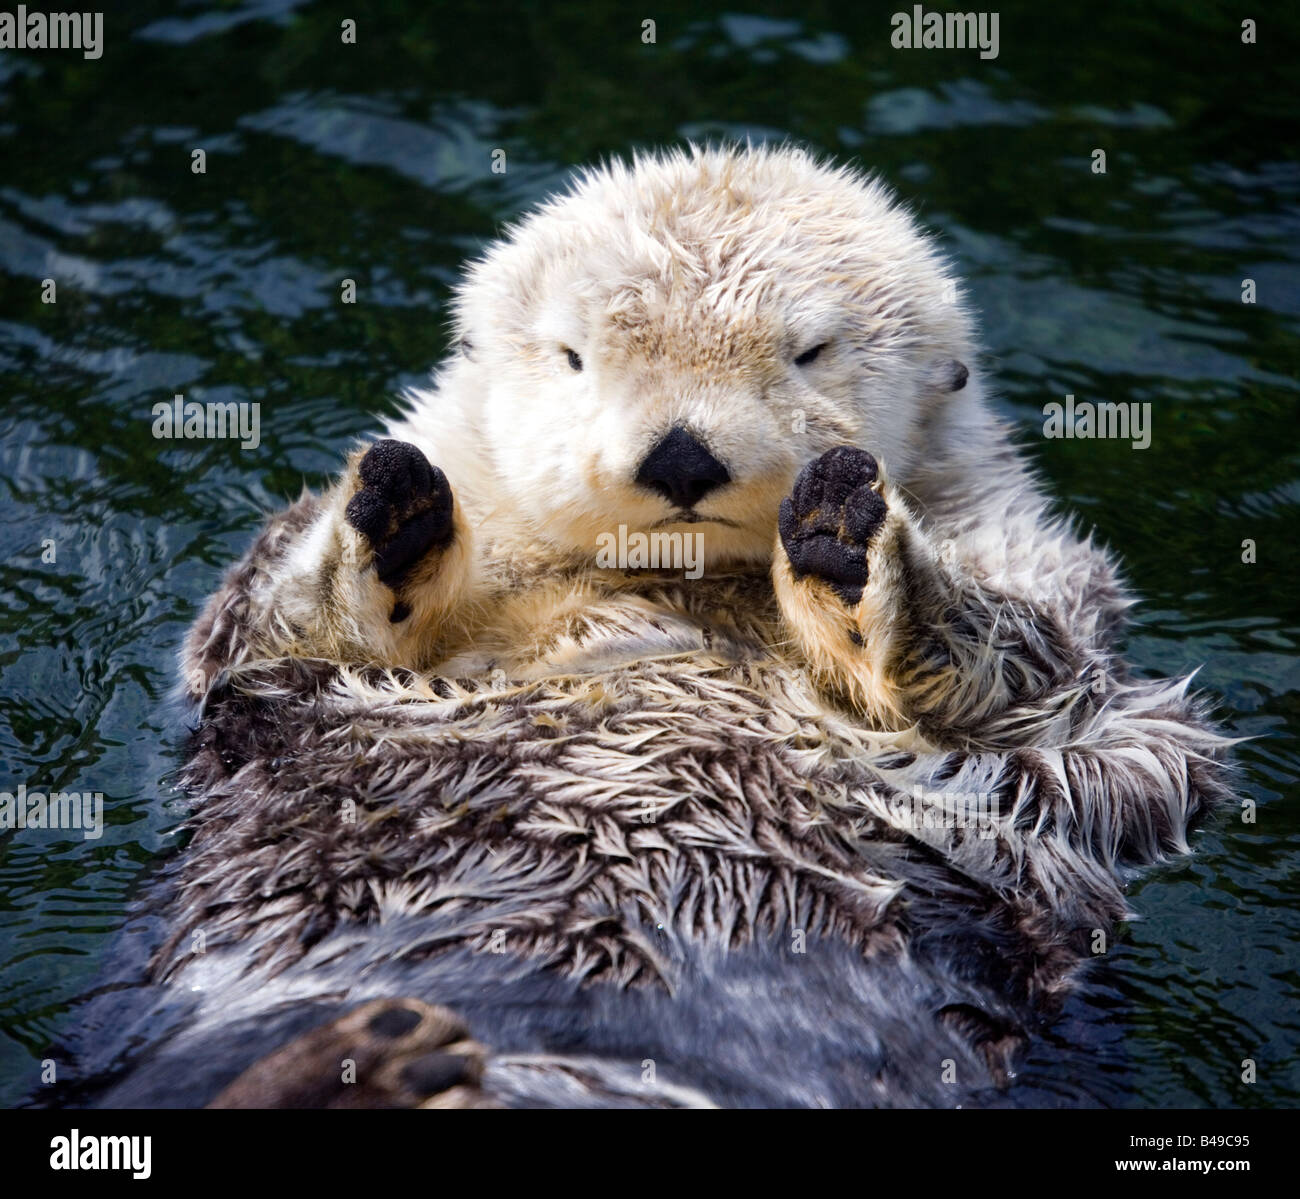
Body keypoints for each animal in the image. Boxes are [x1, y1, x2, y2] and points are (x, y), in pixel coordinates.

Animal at [67, 145, 1229, 1108]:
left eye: (811, 352)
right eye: (573, 357)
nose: (681, 454)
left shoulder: (1049, 590)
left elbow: (1062, 699)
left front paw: (846, 539)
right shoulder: (260, 645)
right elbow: (264, 625)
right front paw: (393, 512)